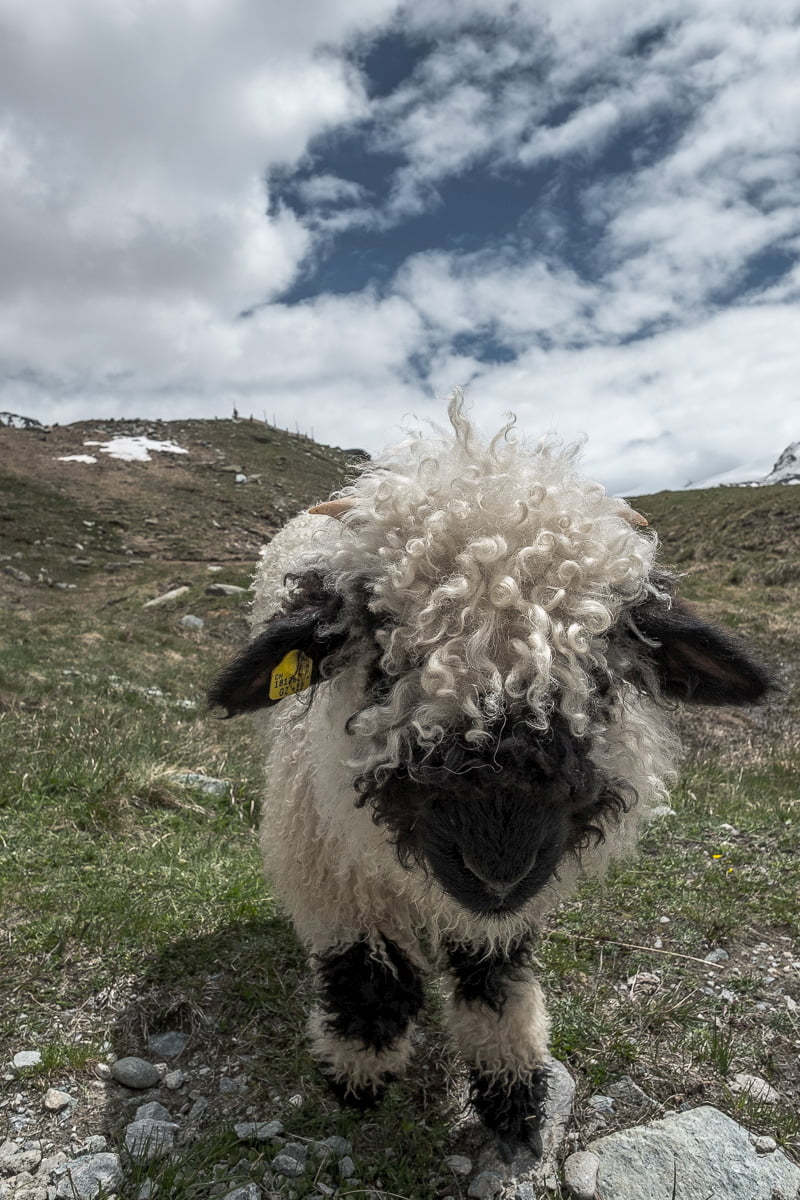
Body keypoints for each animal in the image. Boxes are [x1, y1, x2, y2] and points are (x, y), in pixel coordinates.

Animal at [209, 398, 772, 1156]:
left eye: (603, 671)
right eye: (380, 656)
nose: (497, 867)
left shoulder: (512, 906)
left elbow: (494, 979)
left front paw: (513, 1094)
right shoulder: (325, 856)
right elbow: (366, 972)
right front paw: (358, 1075)